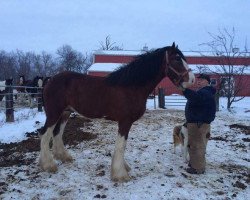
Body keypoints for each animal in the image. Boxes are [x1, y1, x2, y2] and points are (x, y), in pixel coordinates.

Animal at [39, 43, 195, 182]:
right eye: (177, 59)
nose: (192, 80)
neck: (132, 86)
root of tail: (50, 80)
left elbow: (122, 145)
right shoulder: (125, 121)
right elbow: (121, 145)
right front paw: (120, 175)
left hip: (65, 113)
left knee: (57, 133)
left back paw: (63, 157)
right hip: (54, 113)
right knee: (45, 134)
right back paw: (48, 165)